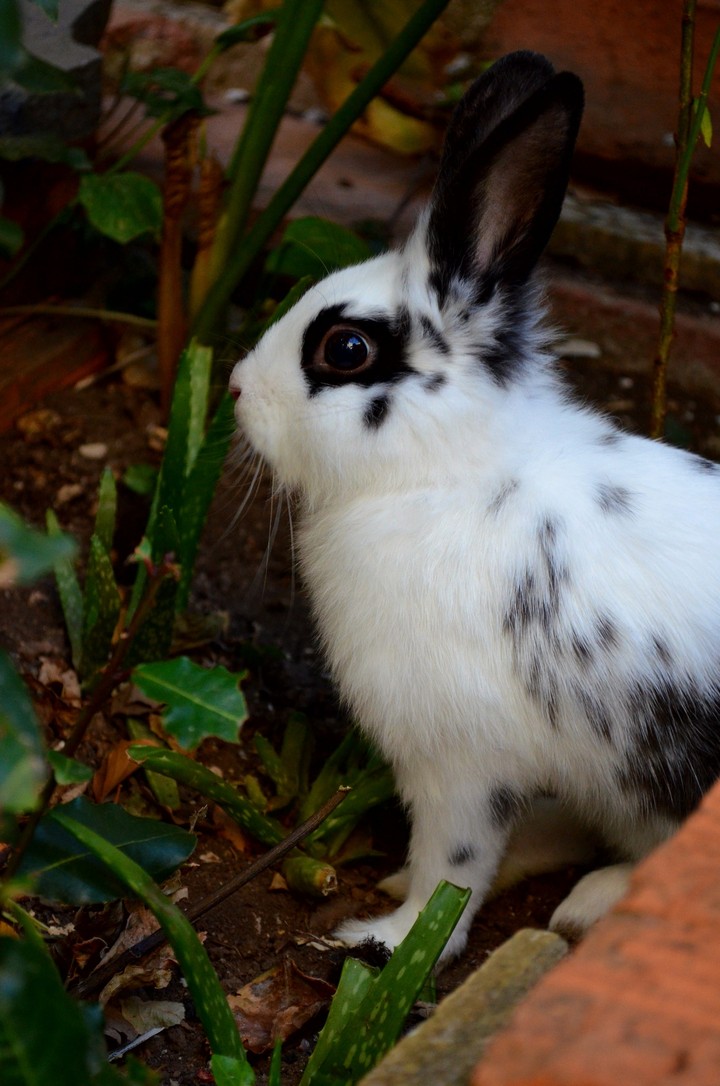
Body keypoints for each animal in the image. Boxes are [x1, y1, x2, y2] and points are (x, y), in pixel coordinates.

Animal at [229, 50, 720, 960]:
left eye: (345, 349)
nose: (239, 387)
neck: (451, 475)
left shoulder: (457, 759)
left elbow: (451, 868)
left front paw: (387, 939)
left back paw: (594, 901)